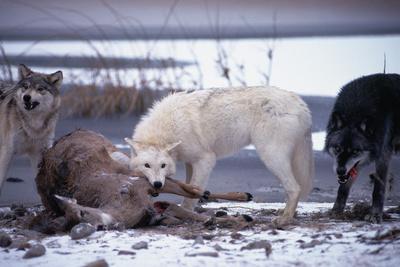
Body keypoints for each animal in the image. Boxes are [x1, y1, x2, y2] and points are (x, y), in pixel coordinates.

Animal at [0, 64, 62, 193]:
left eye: (40, 89)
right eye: (26, 87)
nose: (26, 97)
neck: (34, 127)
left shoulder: (39, 154)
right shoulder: (7, 152)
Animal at [123, 87, 314, 225]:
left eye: (163, 166)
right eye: (147, 165)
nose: (157, 184)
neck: (168, 129)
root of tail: (301, 104)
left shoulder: (205, 159)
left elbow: (191, 194)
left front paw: (185, 212)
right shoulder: (190, 162)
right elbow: (189, 187)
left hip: (270, 156)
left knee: (294, 188)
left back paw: (285, 218)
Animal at [324, 73, 400, 224]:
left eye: (355, 151)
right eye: (338, 148)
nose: (340, 171)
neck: (356, 110)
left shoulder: (383, 156)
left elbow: (378, 189)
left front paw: (375, 215)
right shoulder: (352, 168)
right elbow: (343, 189)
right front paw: (336, 211)